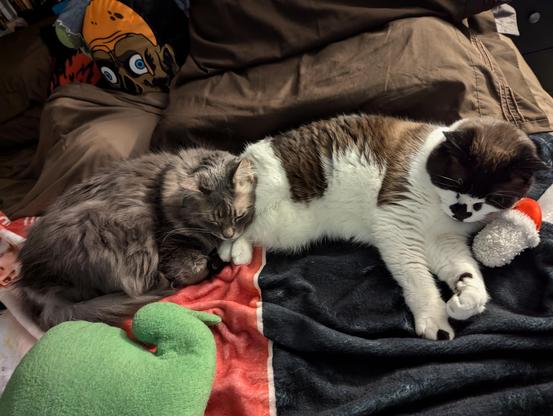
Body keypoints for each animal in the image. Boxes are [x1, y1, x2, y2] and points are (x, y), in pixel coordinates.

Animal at [16, 148, 256, 330]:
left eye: (239, 216)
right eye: (212, 221)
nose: (229, 235)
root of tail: (32, 285)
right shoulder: (170, 247)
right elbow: (196, 268)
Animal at [220, 113, 544, 338]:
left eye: (494, 198)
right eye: (456, 183)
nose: (462, 211)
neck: (438, 209)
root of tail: (242, 156)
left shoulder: (443, 240)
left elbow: (467, 271)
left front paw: (465, 299)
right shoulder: (397, 224)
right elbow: (418, 278)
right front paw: (435, 319)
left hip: (288, 229)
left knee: (251, 233)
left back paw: (240, 252)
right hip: (270, 209)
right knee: (234, 227)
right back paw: (231, 250)